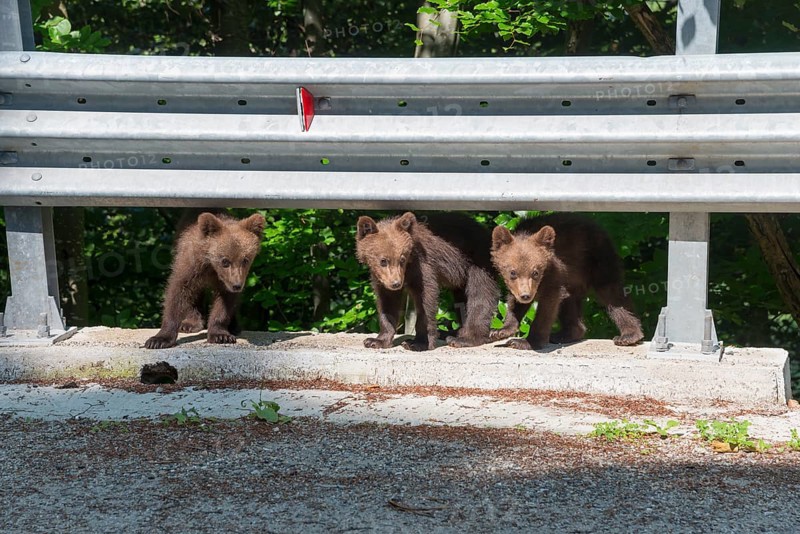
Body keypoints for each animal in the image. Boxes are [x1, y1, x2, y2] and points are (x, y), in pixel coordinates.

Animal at [144, 211, 265, 349]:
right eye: (225, 261)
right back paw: (190, 323)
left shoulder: (225, 282)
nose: (237, 285)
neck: (212, 266)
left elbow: (224, 303)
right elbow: (177, 293)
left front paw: (221, 335)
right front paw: (159, 340)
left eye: (245, 260)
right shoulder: (191, 266)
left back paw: (234, 326)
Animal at [356, 211, 500, 351]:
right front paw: (375, 341)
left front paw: (417, 343)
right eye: (383, 260)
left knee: (480, 293)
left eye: (402, 259)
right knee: (461, 299)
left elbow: (426, 298)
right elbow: (387, 303)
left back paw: (465, 338)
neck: (408, 267)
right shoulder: (381, 279)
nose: (396, 284)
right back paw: (453, 332)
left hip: (478, 261)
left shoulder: (423, 266)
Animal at [490, 214, 644, 350]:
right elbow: (514, 304)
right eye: (512, 272)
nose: (526, 296)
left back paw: (629, 335)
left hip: (598, 259)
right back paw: (565, 334)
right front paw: (501, 330)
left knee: (612, 294)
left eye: (535, 272)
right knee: (570, 301)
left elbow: (548, 306)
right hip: (574, 278)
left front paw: (527, 342)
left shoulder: (553, 273)